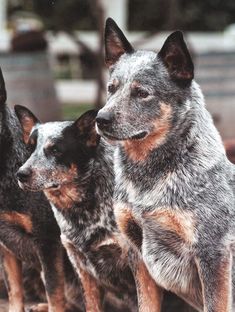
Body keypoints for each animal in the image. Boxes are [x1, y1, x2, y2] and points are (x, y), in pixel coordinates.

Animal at [95, 17, 235, 312]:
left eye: (141, 93)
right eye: (112, 88)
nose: (100, 119)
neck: (147, 182)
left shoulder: (213, 252)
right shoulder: (136, 250)